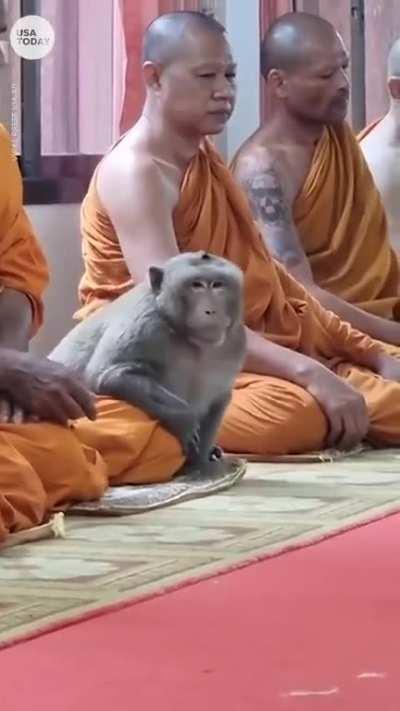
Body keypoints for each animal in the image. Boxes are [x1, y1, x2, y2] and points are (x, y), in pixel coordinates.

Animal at [49, 252, 246, 466]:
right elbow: (107, 375)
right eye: (197, 285)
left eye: (217, 285)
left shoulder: (235, 344)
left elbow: (220, 398)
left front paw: (202, 460)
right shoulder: (146, 324)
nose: (211, 311)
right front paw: (185, 421)